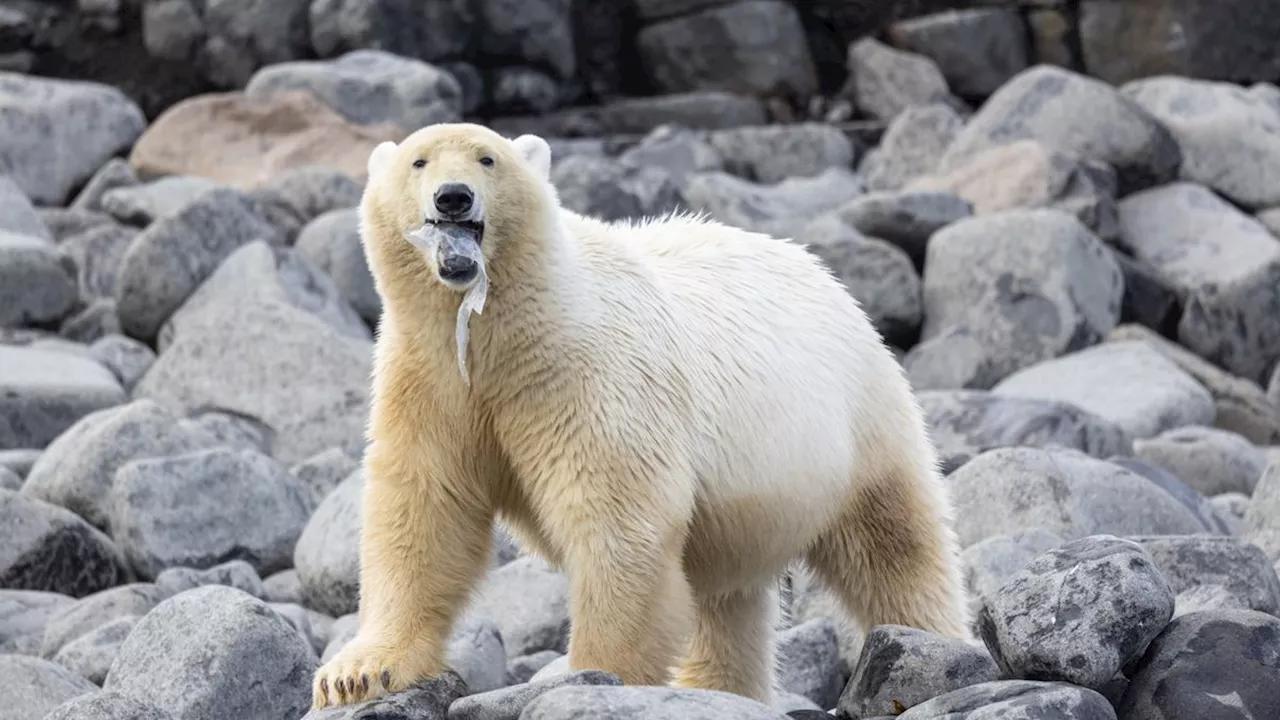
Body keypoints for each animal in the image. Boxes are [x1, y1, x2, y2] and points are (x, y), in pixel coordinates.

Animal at [312, 121, 967, 707]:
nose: (453, 196)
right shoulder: (432, 379)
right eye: (418, 161)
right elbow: (424, 509)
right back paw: (714, 688)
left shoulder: (587, 375)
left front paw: (596, 675)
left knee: (894, 546)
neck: (502, 330)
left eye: (487, 158)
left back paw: (934, 645)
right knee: (727, 598)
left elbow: (618, 519)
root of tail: (822, 272)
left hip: (855, 419)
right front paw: (356, 673)